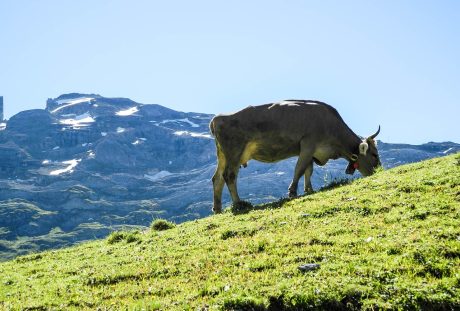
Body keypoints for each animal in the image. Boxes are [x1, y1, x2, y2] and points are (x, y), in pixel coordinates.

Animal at [208, 100, 380, 214]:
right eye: (374, 154)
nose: (379, 170)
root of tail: (218, 118)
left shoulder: (310, 151)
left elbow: (308, 170)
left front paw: (309, 189)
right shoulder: (308, 144)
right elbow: (299, 169)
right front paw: (292, 192)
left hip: (223, 156)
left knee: (217, 179)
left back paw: (217, 209)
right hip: (234, 153)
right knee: (229, 176)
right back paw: (239, 204)